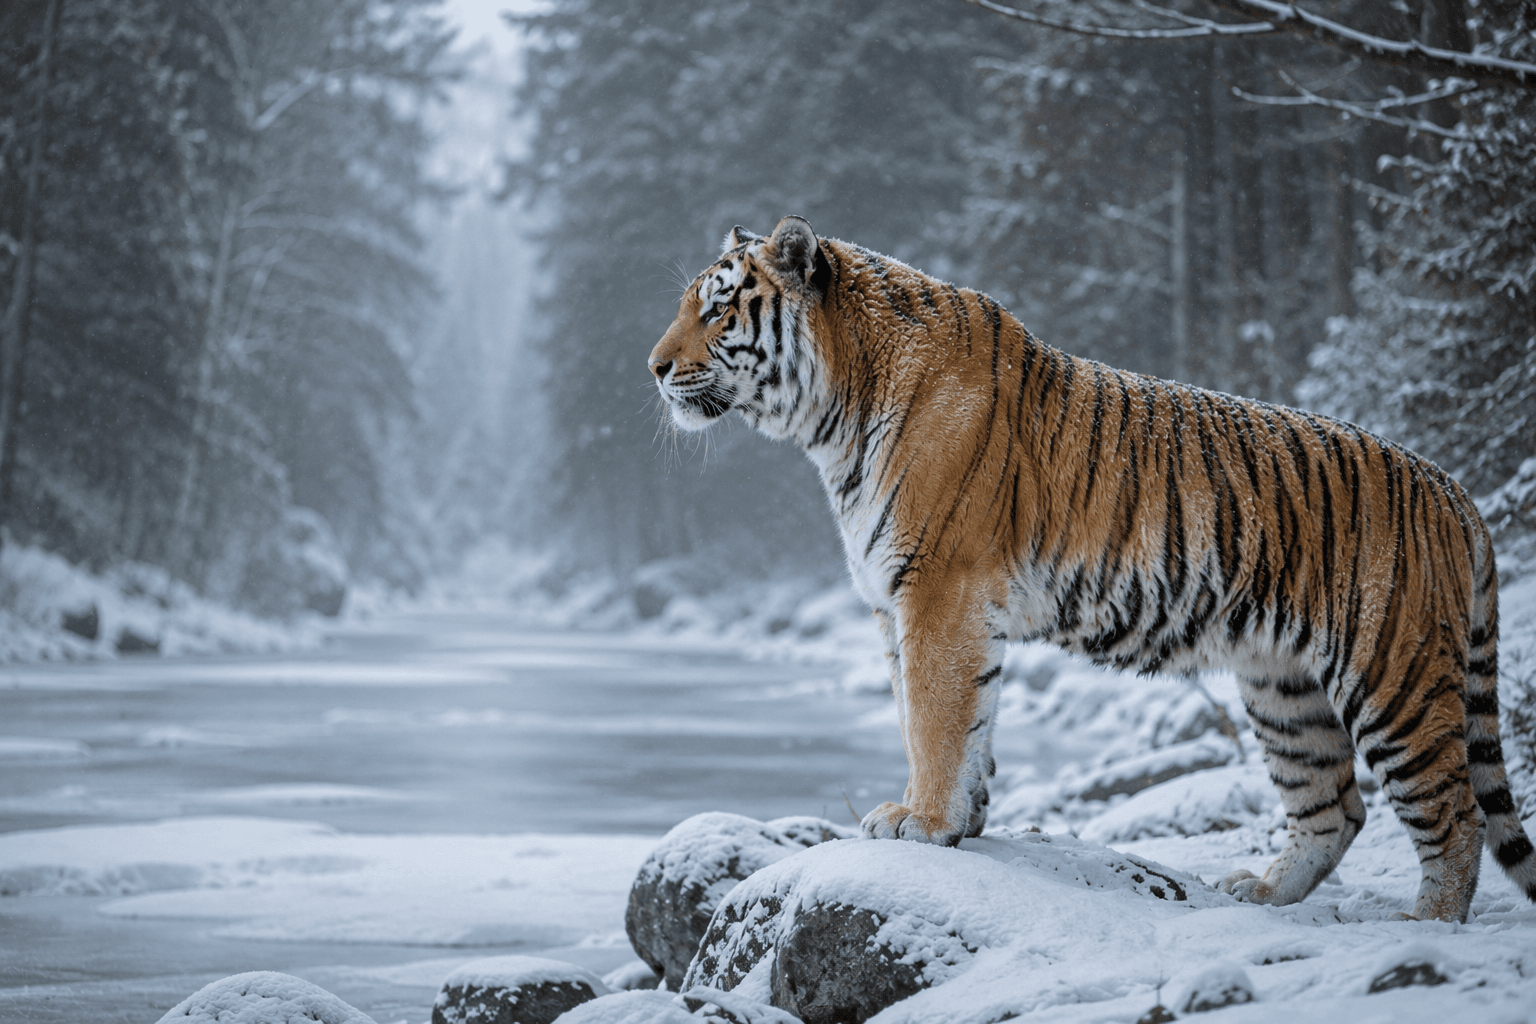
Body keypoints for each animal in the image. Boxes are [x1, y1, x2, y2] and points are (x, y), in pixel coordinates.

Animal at [646, 214, 1536, 923]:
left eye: (717, 308)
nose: (653, 367)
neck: (831, 417)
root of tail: (1453, 488)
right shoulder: (905, 602)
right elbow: (954, 720)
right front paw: (960, 821)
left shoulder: (936, 588)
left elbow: (931, 717)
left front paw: (918, 822)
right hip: (1284, 687)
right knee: (1336, 808)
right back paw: (1261, 892)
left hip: (1391, 672)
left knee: (1454, 814)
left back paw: (1428, 926)